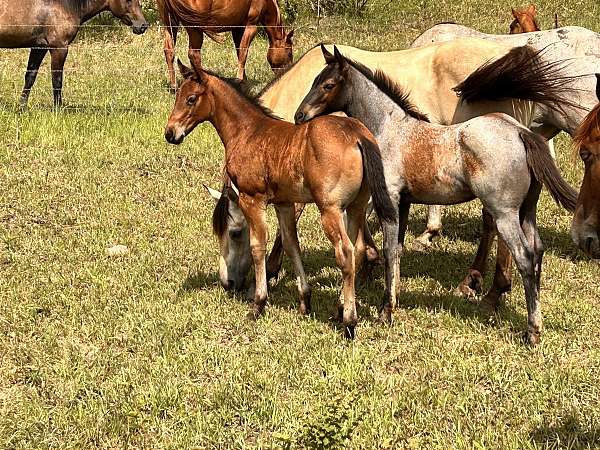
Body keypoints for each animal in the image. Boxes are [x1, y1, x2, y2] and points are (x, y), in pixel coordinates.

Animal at [0, 0, 148, 107]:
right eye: (128, 0)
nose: (143, 25)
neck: (64, 4)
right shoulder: (59, 48)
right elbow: (57, 80)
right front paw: (58, 109)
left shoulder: (39, 47)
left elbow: (30, 76)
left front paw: (22, 107)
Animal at [156, 0, 294, 89]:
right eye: (290, 53)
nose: (288, 71)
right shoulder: (251, 26)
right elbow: (243, 52)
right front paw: (239, 80)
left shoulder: (238, 28)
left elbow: (239, 51)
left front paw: (244, 81)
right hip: (194, 29)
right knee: (193, 54)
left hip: (169, 23)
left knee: (169, 51)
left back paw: (174, 86)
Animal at [164, 58, 398, 338]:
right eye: (177, 95)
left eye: (190, 99)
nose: (170, 133)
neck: (248, 131)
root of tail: (357, 136)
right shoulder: (284, 203)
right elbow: (290, 243)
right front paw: (304, 302)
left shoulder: (252, 200)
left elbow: (258, 248)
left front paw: (258, 304)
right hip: (356, 206)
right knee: (358, 248)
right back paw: (340, 309)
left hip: (330, 210)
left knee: (345, 252)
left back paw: (349, 322)